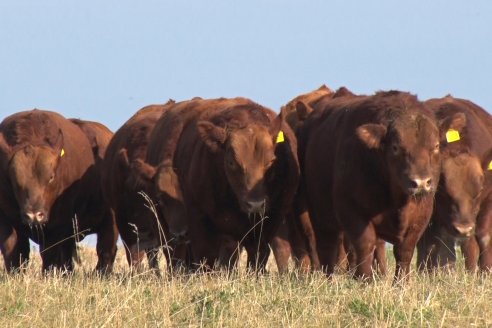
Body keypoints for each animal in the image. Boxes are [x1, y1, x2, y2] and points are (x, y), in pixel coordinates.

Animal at [0, 109, 117, 272]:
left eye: (51, 177)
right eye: (14, 178)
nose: (34, 215)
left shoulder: (56, 225)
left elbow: (49, 254)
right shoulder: (6, 220)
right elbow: (15, 252)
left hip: (110, 221)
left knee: (106, 251)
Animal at [296, 91, 442, 280]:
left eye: (436, 146)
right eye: (395, 147)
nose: (421, 182)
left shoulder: (420, 216)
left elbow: (405, 251)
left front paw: (401, 282)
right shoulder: (352, 210)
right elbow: (365, 245)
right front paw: (365, 279)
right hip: (320, 215)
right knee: (327, 246)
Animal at [418, 95, 492, 272]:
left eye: (479, 190)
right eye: (443, 190)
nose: (463, 228)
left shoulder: (487, 200)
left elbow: (483, 237)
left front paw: (484, 272)